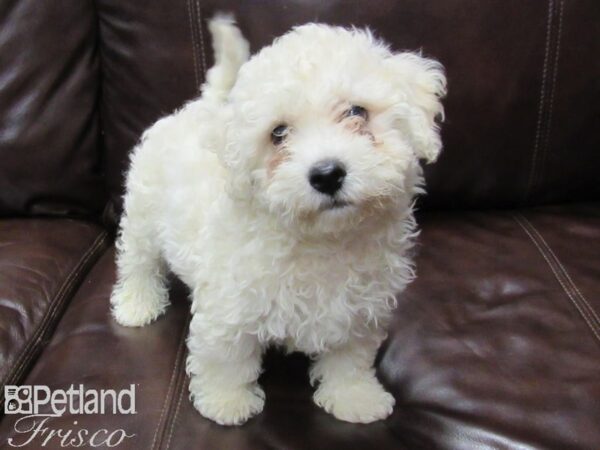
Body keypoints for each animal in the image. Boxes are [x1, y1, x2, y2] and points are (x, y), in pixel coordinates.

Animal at [110, 16, 442, 426]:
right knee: (138, 261)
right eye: (278, 134)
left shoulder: (360, 309)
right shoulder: (229, 304)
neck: (323, 242)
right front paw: (226, 402)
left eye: (357, 113)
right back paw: (137, 304)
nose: (327, 174)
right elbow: (227, 356)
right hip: (143, 213)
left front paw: (355, 397)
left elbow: (350, 358)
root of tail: (200, 107)